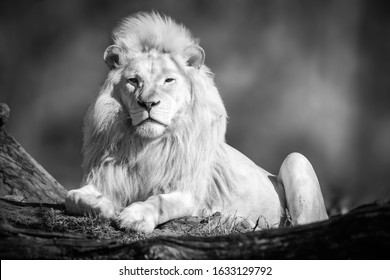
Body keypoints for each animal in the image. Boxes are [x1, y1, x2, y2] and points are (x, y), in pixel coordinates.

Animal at [65, 12, 328, 233]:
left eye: (168, 80)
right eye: (133, 81)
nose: (148, 103)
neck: (147, 147)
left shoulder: (188, 191)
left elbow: (160, 201)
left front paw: (135, 217)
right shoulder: (102, 177)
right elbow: (72, 196)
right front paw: (105, 206)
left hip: (297, 160)